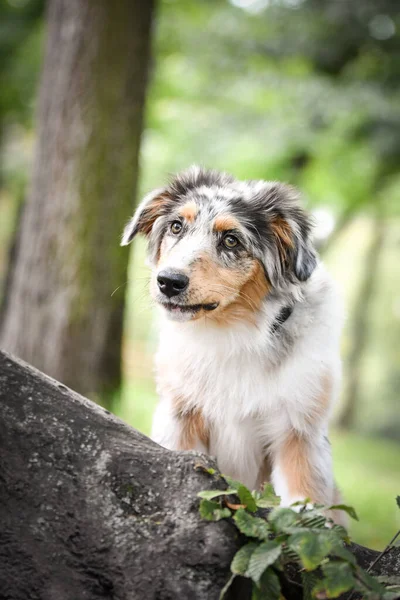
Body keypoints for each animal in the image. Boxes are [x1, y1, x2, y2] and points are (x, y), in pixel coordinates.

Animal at [120, 168, 346, 520]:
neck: (234, 335)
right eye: (176, 226)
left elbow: (305, 500)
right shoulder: (180, 416)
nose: (168, 282)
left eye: (231, 239)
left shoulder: (299, 433)